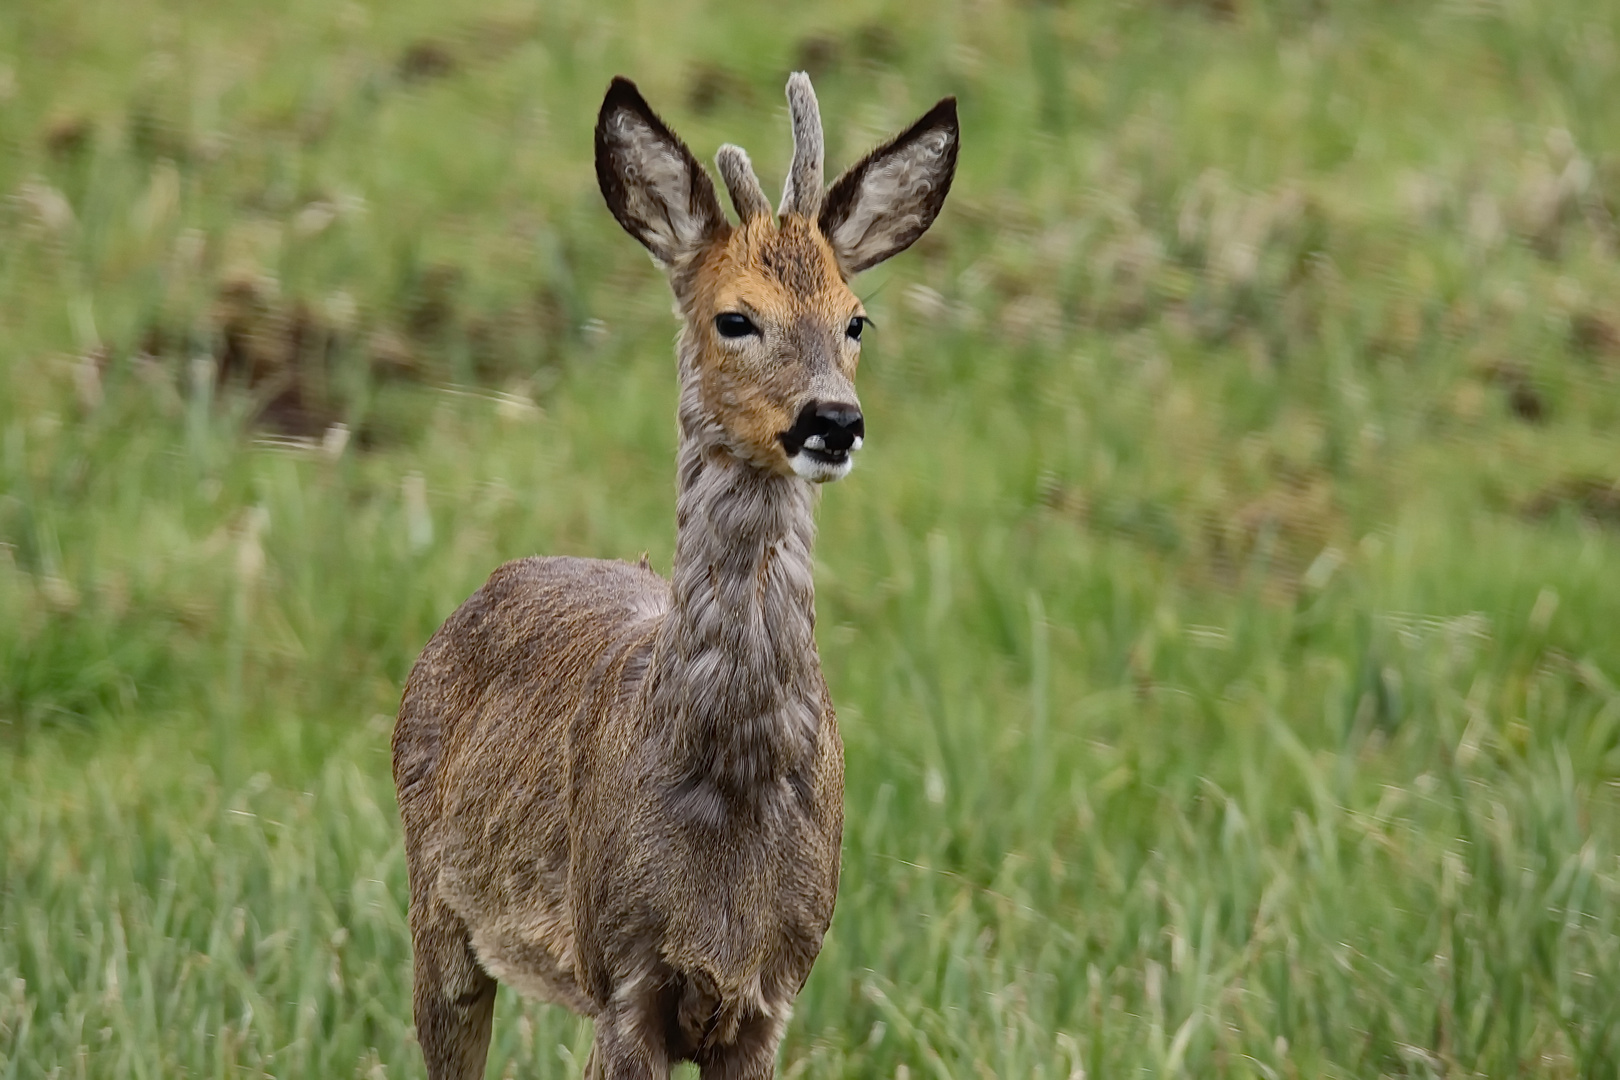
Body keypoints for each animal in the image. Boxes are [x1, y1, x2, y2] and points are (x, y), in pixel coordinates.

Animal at [390, 71, 952, 1075]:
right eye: (735, 317)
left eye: (856, 319)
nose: (834, 420)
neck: (731, 774)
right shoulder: (623, 970)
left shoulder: (773, 990)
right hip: (439, 913)